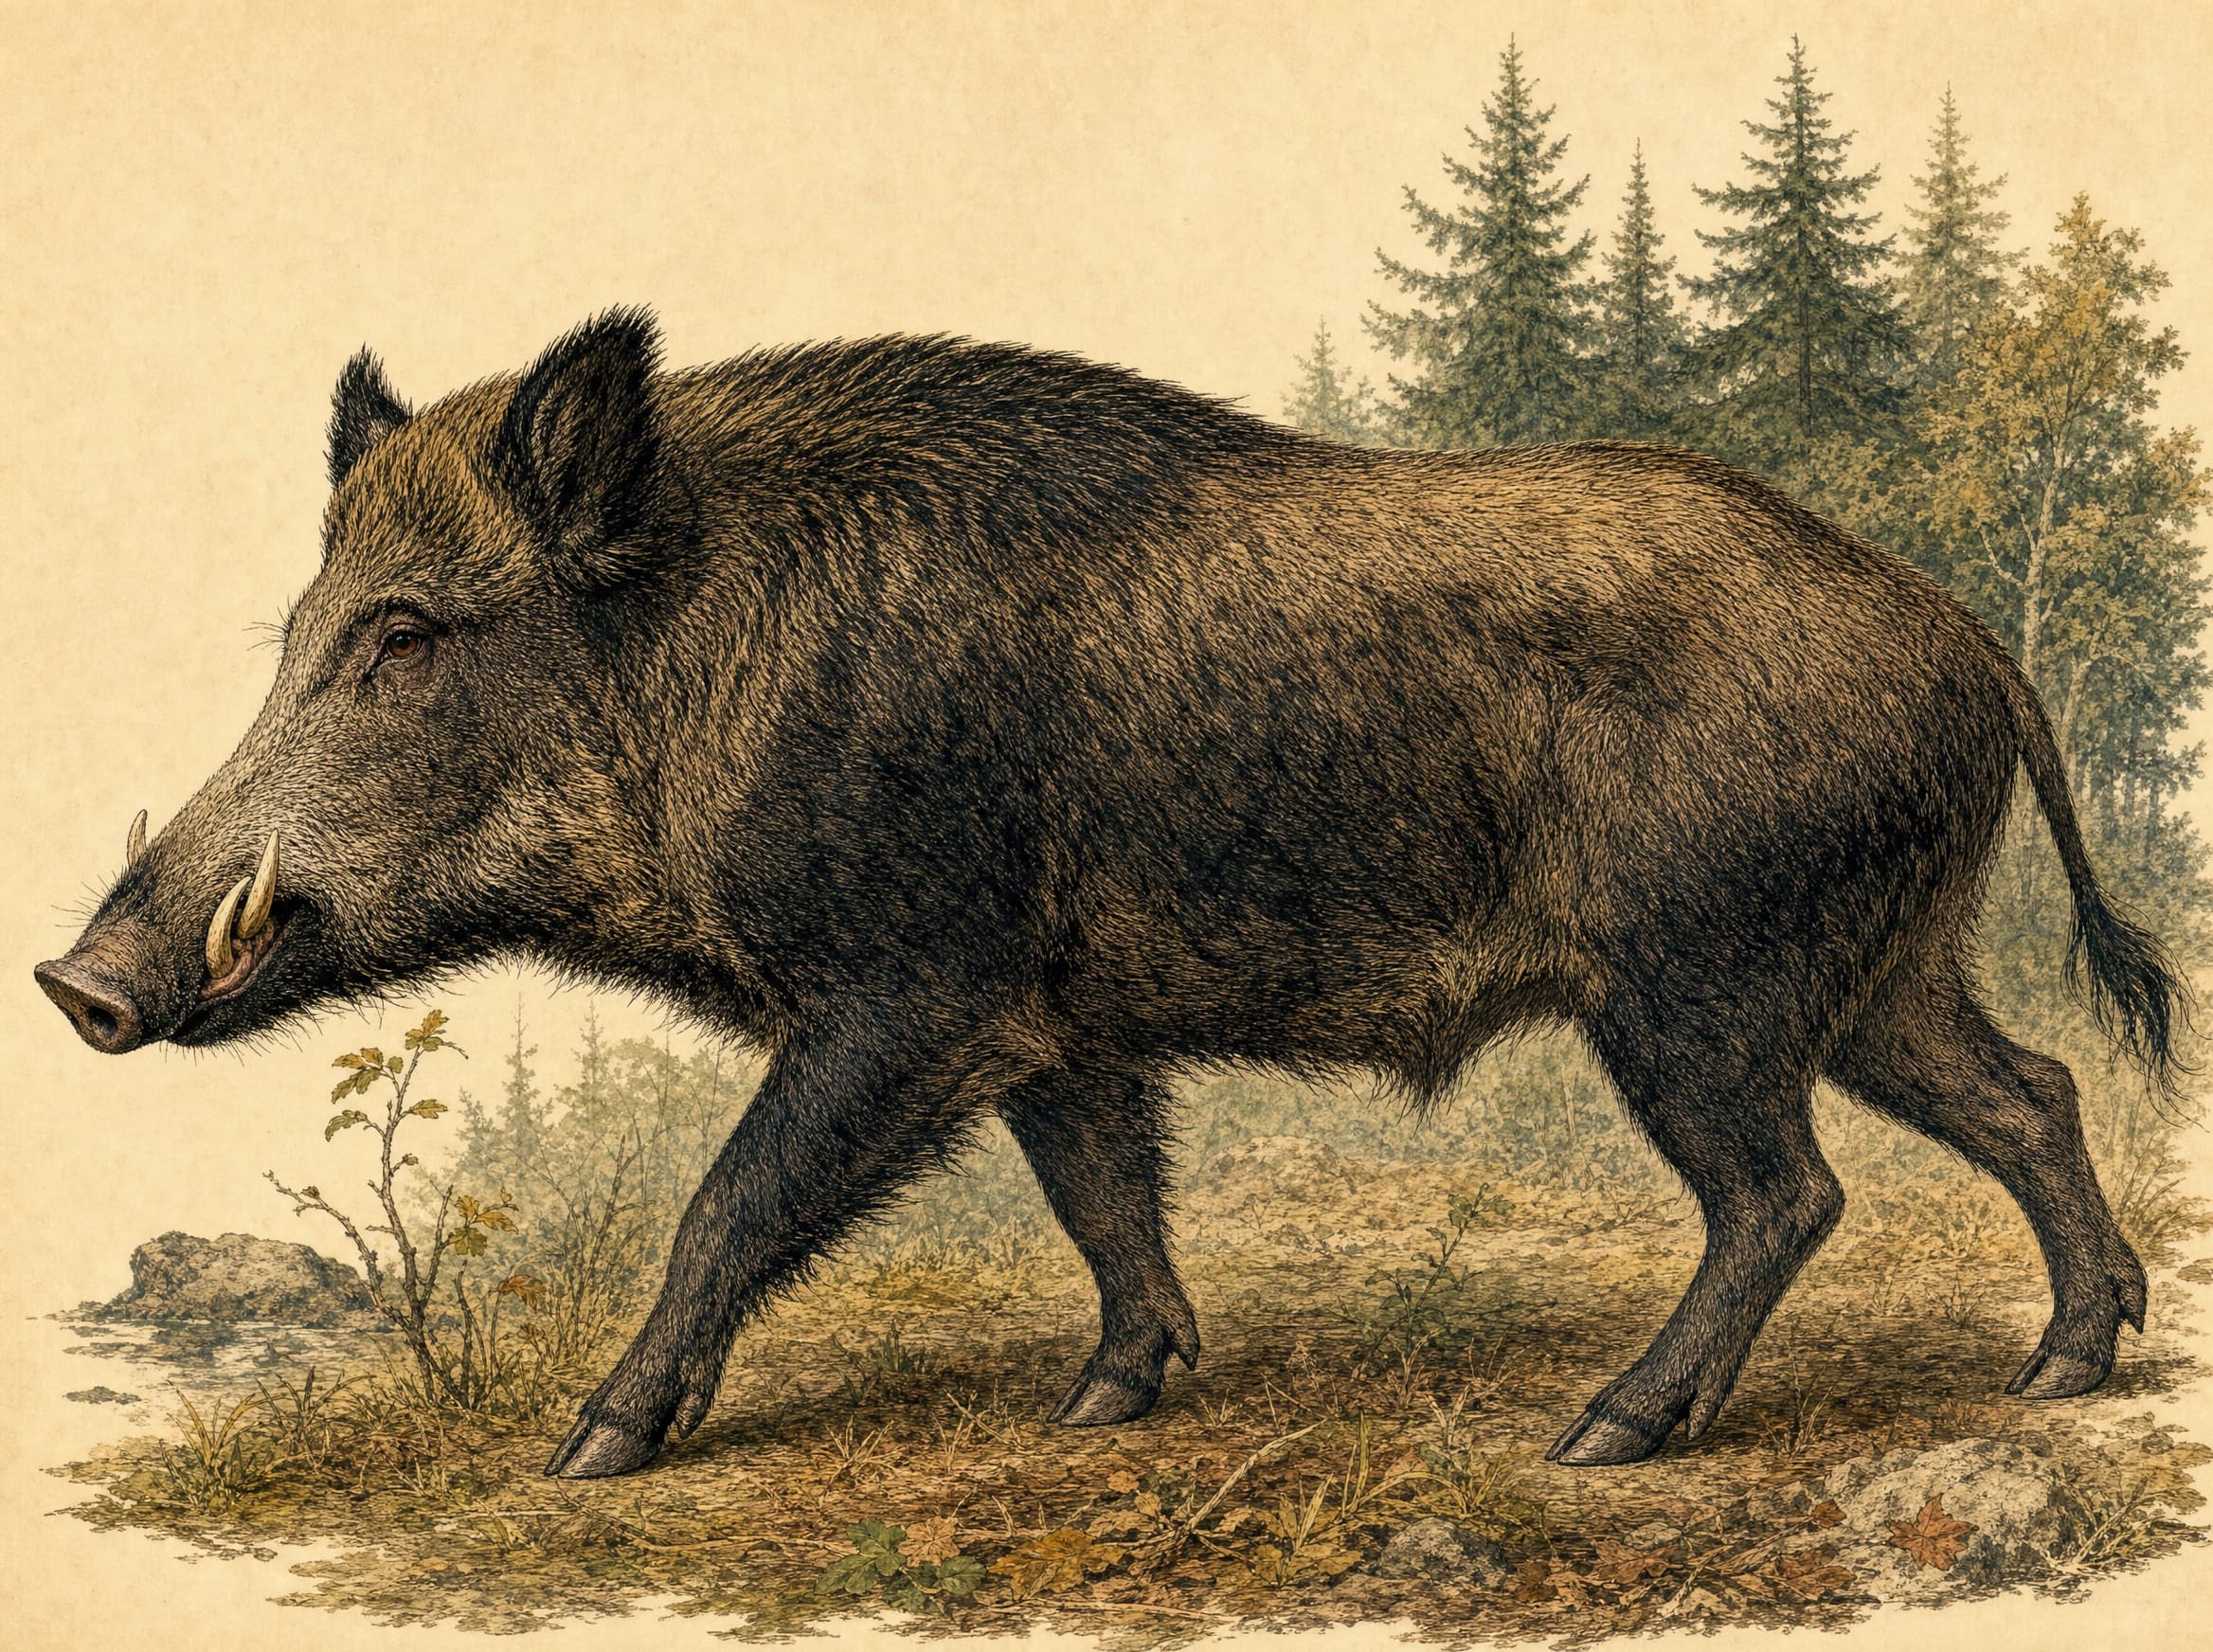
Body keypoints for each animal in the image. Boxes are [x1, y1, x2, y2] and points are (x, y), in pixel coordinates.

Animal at [36, 310, 2184, 1479]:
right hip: (1876, 964)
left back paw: (1602, 1432)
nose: (75, 980)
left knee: (1786, 1188)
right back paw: (2064, 1363)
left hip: (1698, 972)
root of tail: (1968, 641)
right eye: (302, 622)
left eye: (405, 634)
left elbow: (735, 1191)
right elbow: (1103, 1198)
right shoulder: (1056, 1019)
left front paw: (587, 1447)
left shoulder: (909, 983)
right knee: (2031, 1094)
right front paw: (1104, 1403)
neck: (723, 654)